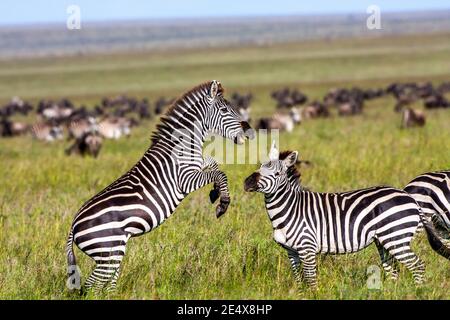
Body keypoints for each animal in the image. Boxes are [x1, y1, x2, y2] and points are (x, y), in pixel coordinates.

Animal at [68, 80, 255, 292]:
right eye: (224, 110)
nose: (249, 131)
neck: (183, 144)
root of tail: (73, 226)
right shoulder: (185, 179)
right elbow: (220, 173)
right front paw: (222, 204)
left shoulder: (198, 164)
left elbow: (214, 164)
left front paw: (215, 192)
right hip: (108, 250)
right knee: (91, 287)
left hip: (113, 252)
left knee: (104, 285)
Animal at [244, 142, 448, 288]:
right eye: (259, 167)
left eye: (277, 173)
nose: (247, 183)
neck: (290, 209)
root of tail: (410, 197)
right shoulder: (291, 251)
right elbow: (299, 280)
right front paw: (300, 294)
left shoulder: (307, 248)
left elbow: (311, 280)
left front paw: (312, 295)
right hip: (384, 240)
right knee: (393, 271)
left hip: (396, 236)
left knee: (418, 266)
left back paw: (418, 291)